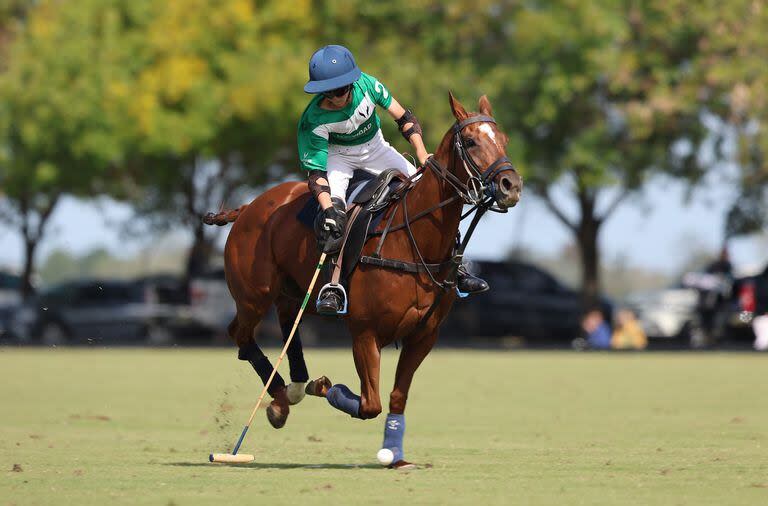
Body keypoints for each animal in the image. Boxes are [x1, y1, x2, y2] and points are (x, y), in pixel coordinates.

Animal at [206, 93, 520, 468]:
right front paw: (325, 388)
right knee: (240, 334)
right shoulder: (365, 332)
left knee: (286, 327)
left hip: (293, 294)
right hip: (254, 295)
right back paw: (283, 398)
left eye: (503, 140)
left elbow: (397, 396)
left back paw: (291, 391)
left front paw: (396, 456)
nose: (511, 186)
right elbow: (370, 403)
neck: (414, 239)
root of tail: (249, 207)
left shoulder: (424, 336)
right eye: (471, 142)